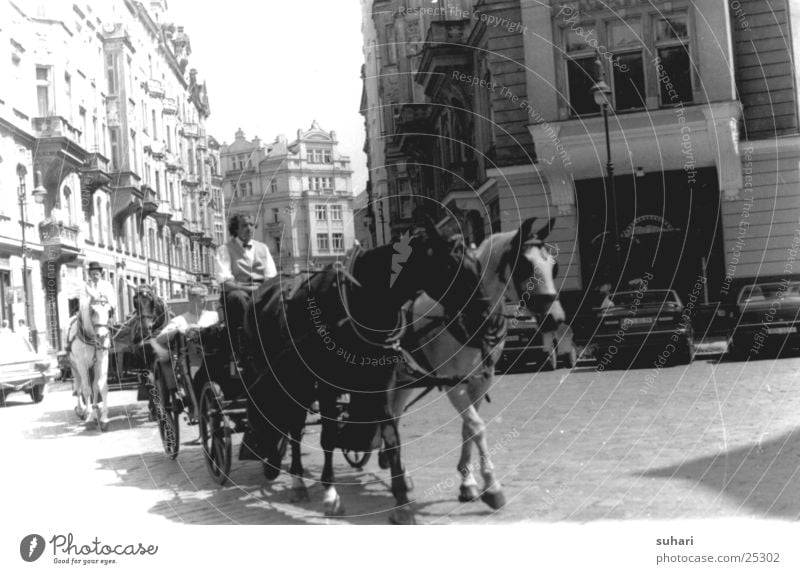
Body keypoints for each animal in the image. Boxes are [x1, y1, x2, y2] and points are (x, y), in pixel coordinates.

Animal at [67, 288, 113, 432]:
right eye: (93, 310)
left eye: (109, 311)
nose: (102, 336)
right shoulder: (81, 363)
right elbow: (86, 389)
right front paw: (88, 414)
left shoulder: (102, 360)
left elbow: (101, 386)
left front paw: (103, 418)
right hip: (74, 366)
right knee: (79, 386)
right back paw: (82, 410)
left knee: (93, 386)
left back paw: (95, 410)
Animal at [241, 214, 490, 524]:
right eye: (450, 265)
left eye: (477, 263)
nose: (484, 314)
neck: (362, 301)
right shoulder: (326, 383)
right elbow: (328, 435)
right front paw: (330, 495)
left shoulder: (381, 380)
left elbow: (391, 435)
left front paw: (402, 503)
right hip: (290, 379)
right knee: (293, 426)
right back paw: (297, 481)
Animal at [386, 217, 564, 512]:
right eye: (525, 265)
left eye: (553, 265)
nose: (556, 318)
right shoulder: (454, 384)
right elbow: (477, 427)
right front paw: (492, 485)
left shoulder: (481, 380)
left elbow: (467, 429)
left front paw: (468, 483)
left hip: (405, 380)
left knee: (395, 420)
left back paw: (401, 475)